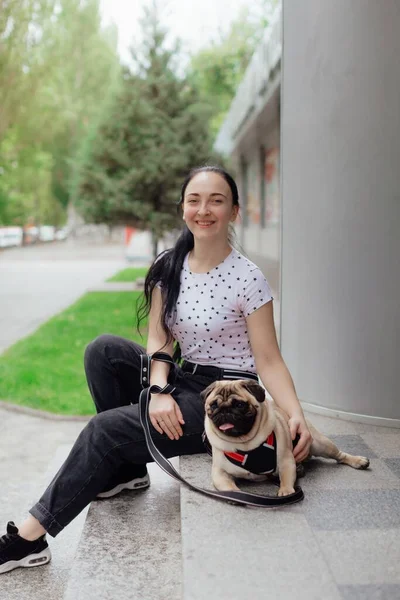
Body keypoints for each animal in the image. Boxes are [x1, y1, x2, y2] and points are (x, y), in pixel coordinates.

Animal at [203, 380, 372, 496]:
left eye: (239, 405)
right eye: (213, 405)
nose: (224, 410)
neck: (245, 444)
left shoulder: (285, 460)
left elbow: (285, 476)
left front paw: (285, 491)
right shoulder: (220, 473)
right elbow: (228, 485)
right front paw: (236, 494)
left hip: (320, 444)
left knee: (340, 455)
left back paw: (358, 461)